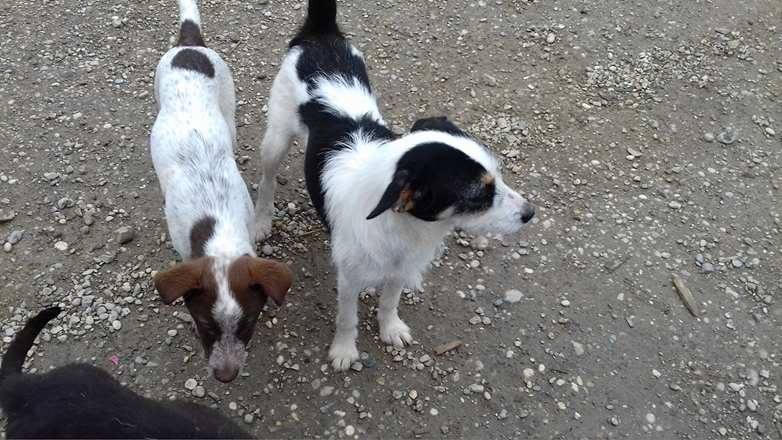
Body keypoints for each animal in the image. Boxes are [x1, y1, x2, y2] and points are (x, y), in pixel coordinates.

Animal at [150, 0, 293, 383]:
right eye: (203, 325)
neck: (218, 229)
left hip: (228, 104)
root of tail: (189, 44)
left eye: (248, 324)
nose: (226, 375)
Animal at [253, 0, 535, 370]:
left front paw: (390, 328)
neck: (406, 227)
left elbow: (390, 300)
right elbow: (347, 318)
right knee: (266, 180)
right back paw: (261, 220)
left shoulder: (400, 268)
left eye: (498, 177)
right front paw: (344, 350)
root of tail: (320, 33)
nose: (530, 213)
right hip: (275, 141)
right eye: (478, 195)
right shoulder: (349, 278)